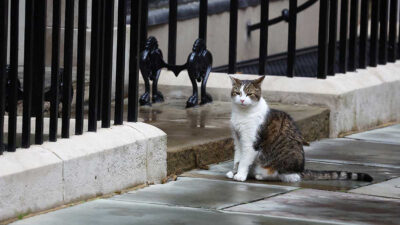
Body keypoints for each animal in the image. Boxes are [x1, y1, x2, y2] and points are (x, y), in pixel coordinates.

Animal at [227, 75, 374, 183]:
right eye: (237, 93)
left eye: (249, 94)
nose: (242, 100)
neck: (242, 114)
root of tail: (301, 170)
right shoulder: (238, 139)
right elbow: (237, 158)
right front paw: (234, 172)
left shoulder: (251, 142)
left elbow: (244, 160)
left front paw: (240, 175)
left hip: (281, 163)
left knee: (288, 176)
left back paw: (261, 175)